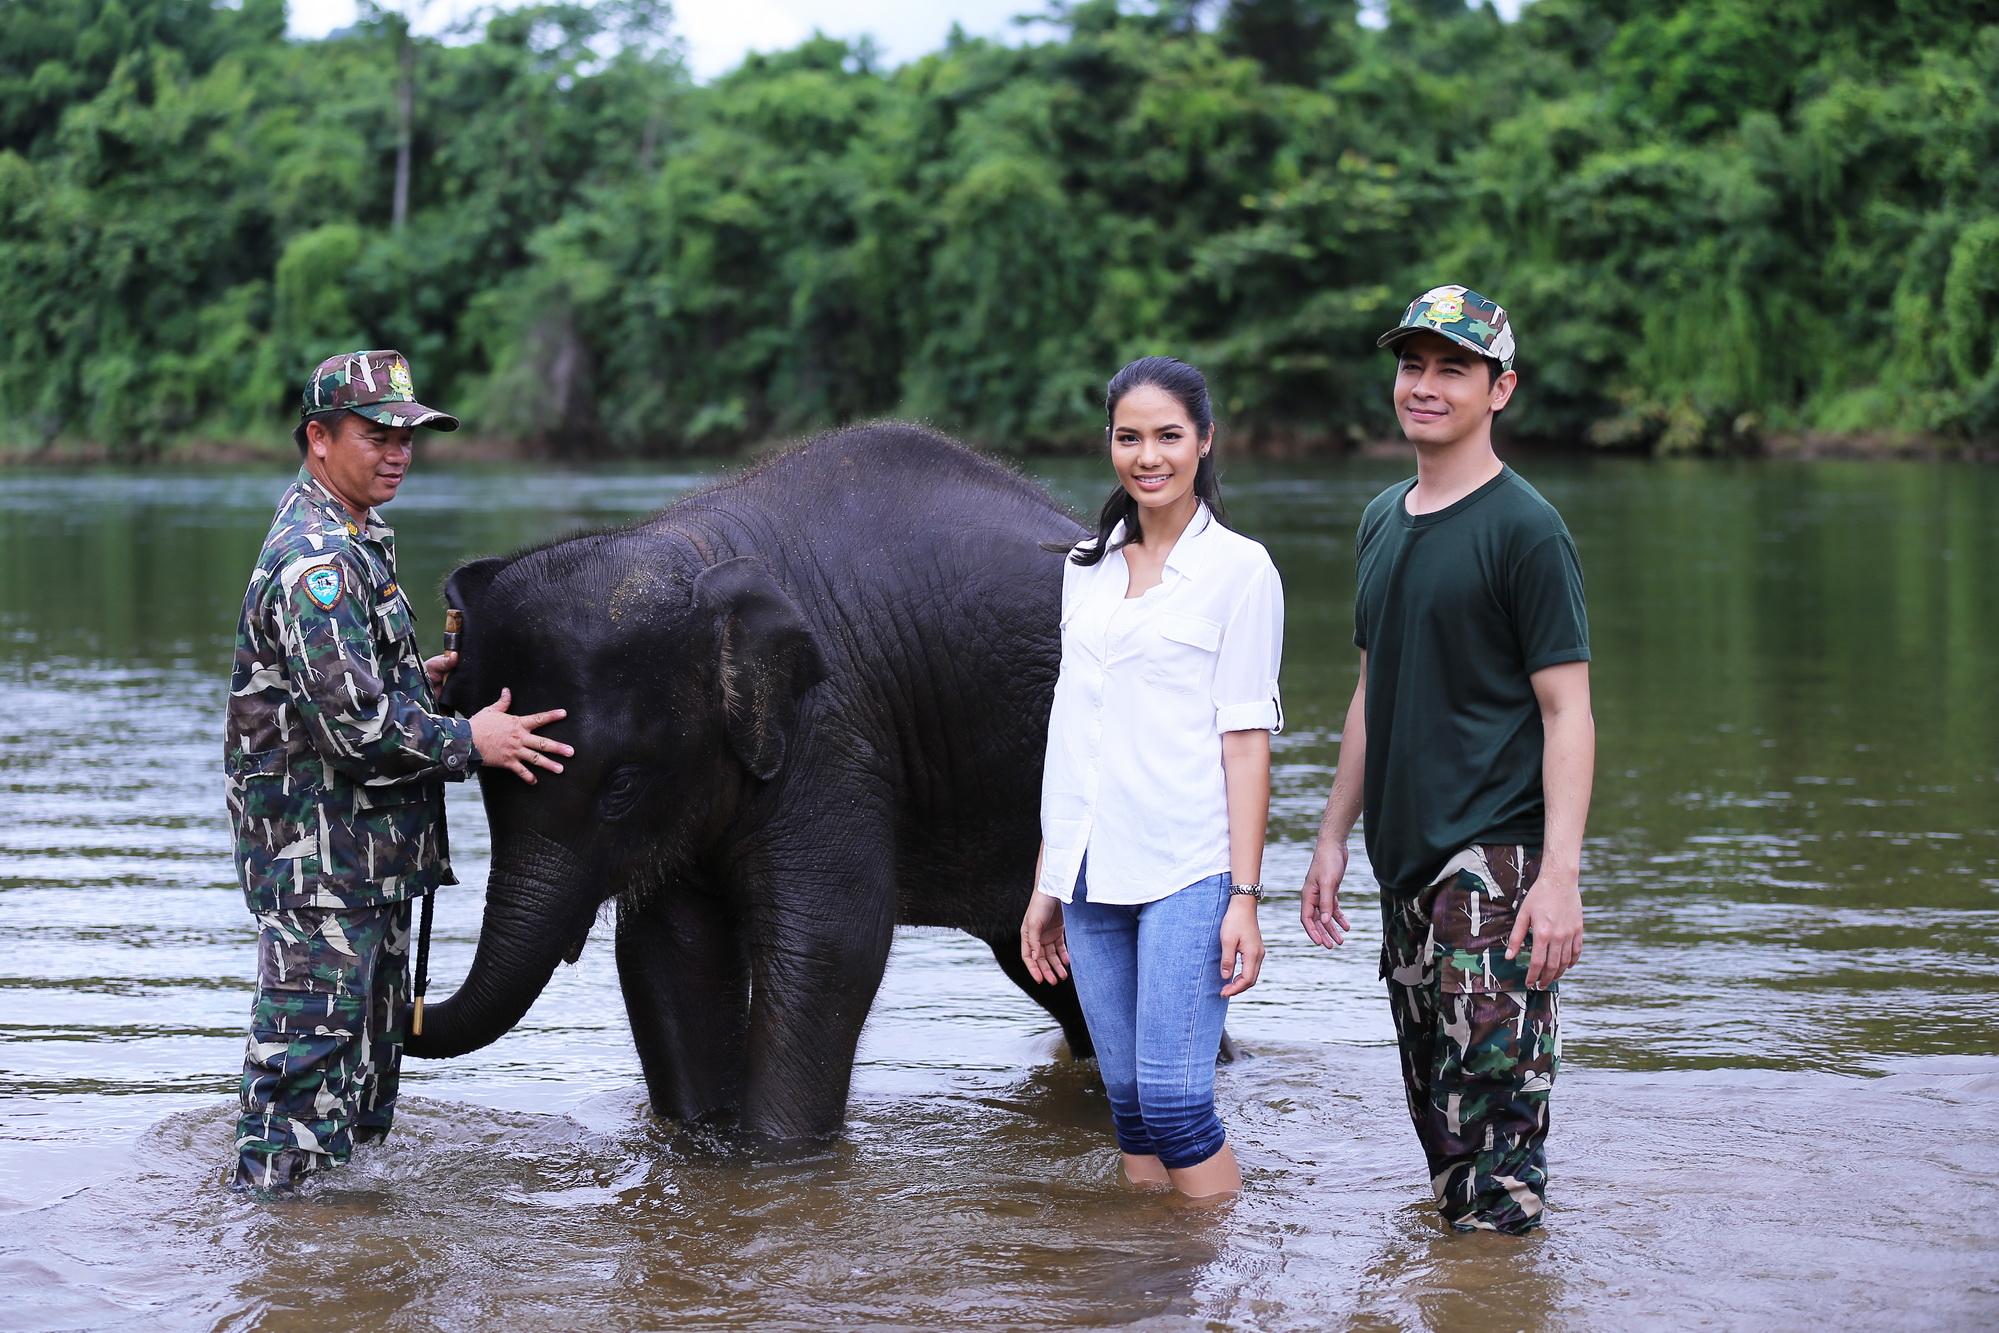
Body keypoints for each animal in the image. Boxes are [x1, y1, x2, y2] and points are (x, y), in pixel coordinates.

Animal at [407, 421, 1095, 1143]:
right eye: (486, 779)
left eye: (621, 787)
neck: (696, 553)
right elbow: (669, 949)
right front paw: (700, 1139)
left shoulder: (829, 736)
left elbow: (828, 943)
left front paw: (774, 1153)